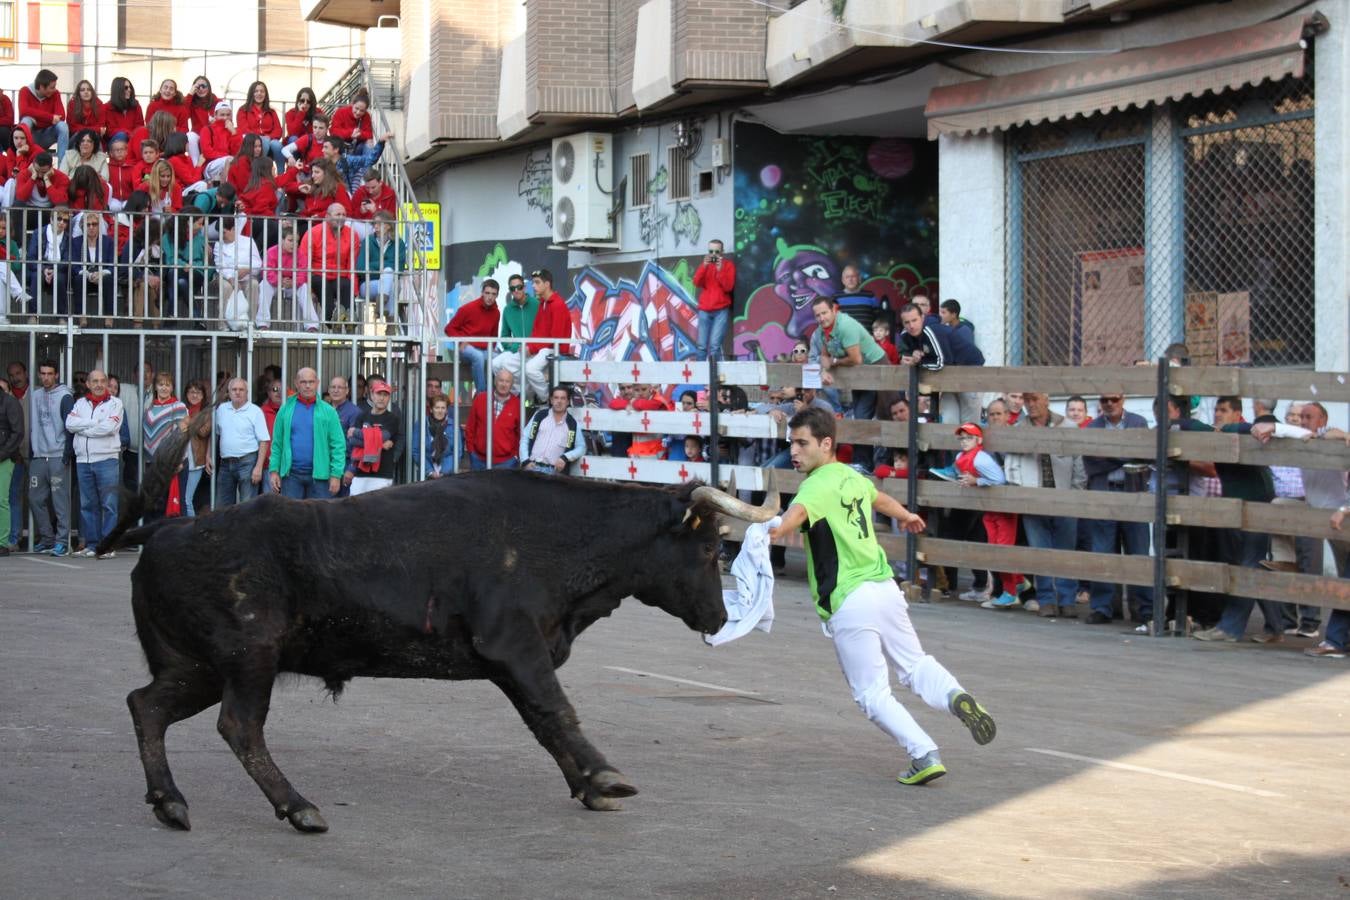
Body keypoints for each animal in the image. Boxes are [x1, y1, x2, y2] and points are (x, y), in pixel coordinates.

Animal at [99, 426, 777, 836]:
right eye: (709, 548)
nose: (719, 618)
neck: (558, 536)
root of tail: (166, 528)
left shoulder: (513, 661)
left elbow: (544, 721)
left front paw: (589, 786)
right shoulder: (515, 647)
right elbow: (558, 711)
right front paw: (606, 777)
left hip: (199, 667)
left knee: (146, 705)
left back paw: (170, 802)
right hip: (249, 656)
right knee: (238, 725)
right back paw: (299, 807)